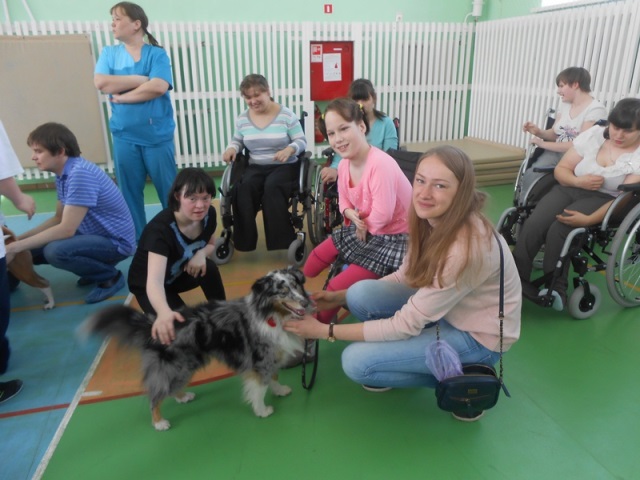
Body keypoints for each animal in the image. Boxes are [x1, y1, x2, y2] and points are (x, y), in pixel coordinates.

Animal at [81, 266, 311, 431]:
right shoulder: (260, 359)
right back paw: (159, 422)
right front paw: (262, 410)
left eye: (296, 286)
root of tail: (154, 324)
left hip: (186, 365)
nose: (305, 304)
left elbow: (274, 377)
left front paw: (280, 391)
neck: (272, 315)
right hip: (174, 366)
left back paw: (182, 397)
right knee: (155, 394)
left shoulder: (272, 356)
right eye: (282, 292)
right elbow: (260, 387)